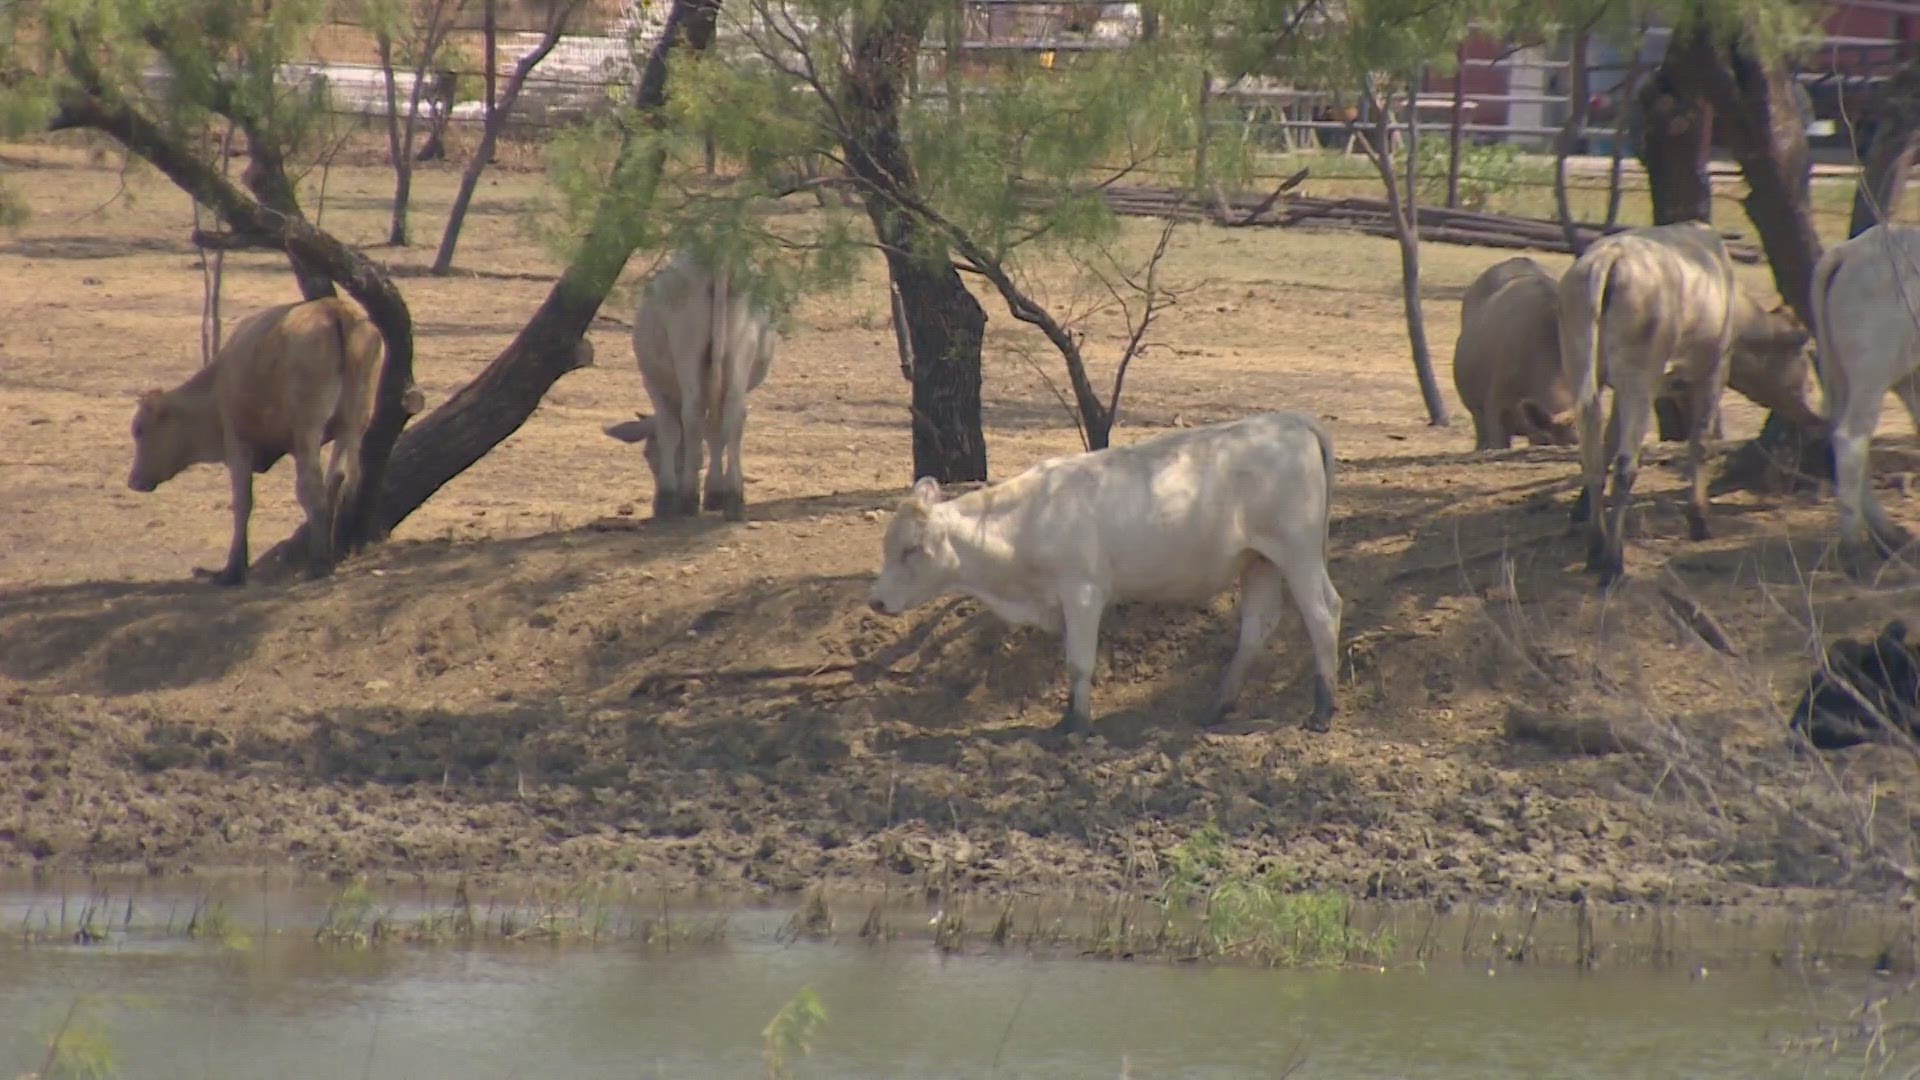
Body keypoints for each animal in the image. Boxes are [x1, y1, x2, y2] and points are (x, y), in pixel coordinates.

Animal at [602, 251, 775, 522]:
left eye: (648, 455)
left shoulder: (654, 385)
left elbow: (670, 432)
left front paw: (667, 497)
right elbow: (715, 435)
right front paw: (715, 493)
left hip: (685, 345)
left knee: (692, 415)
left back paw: (687, 499)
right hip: (742, 346)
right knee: (734, 416)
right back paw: (734, 499)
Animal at [864, 409, 1344, 730]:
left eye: (911, 549)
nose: (877, 601)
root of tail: (1291, 421)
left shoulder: (1083, 591)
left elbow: (1079, 662)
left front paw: (1076, 727)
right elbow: (1069, 660)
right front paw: (1066, 717)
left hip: (1298, 553)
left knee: (1323, 614)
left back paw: (1322, 710)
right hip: (1260, 560)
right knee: (1257, 626)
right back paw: (1218, 706)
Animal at [1559, 220, 1743, 584]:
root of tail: (1608, 257)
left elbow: (1608, 442)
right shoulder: (1715, 369)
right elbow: (1700, 441)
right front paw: (1699, 520)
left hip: (1581, 364)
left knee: (1592, 452)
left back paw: (1595, 547)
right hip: (1640, 378)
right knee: (1626, 465)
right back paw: (1613, 562)